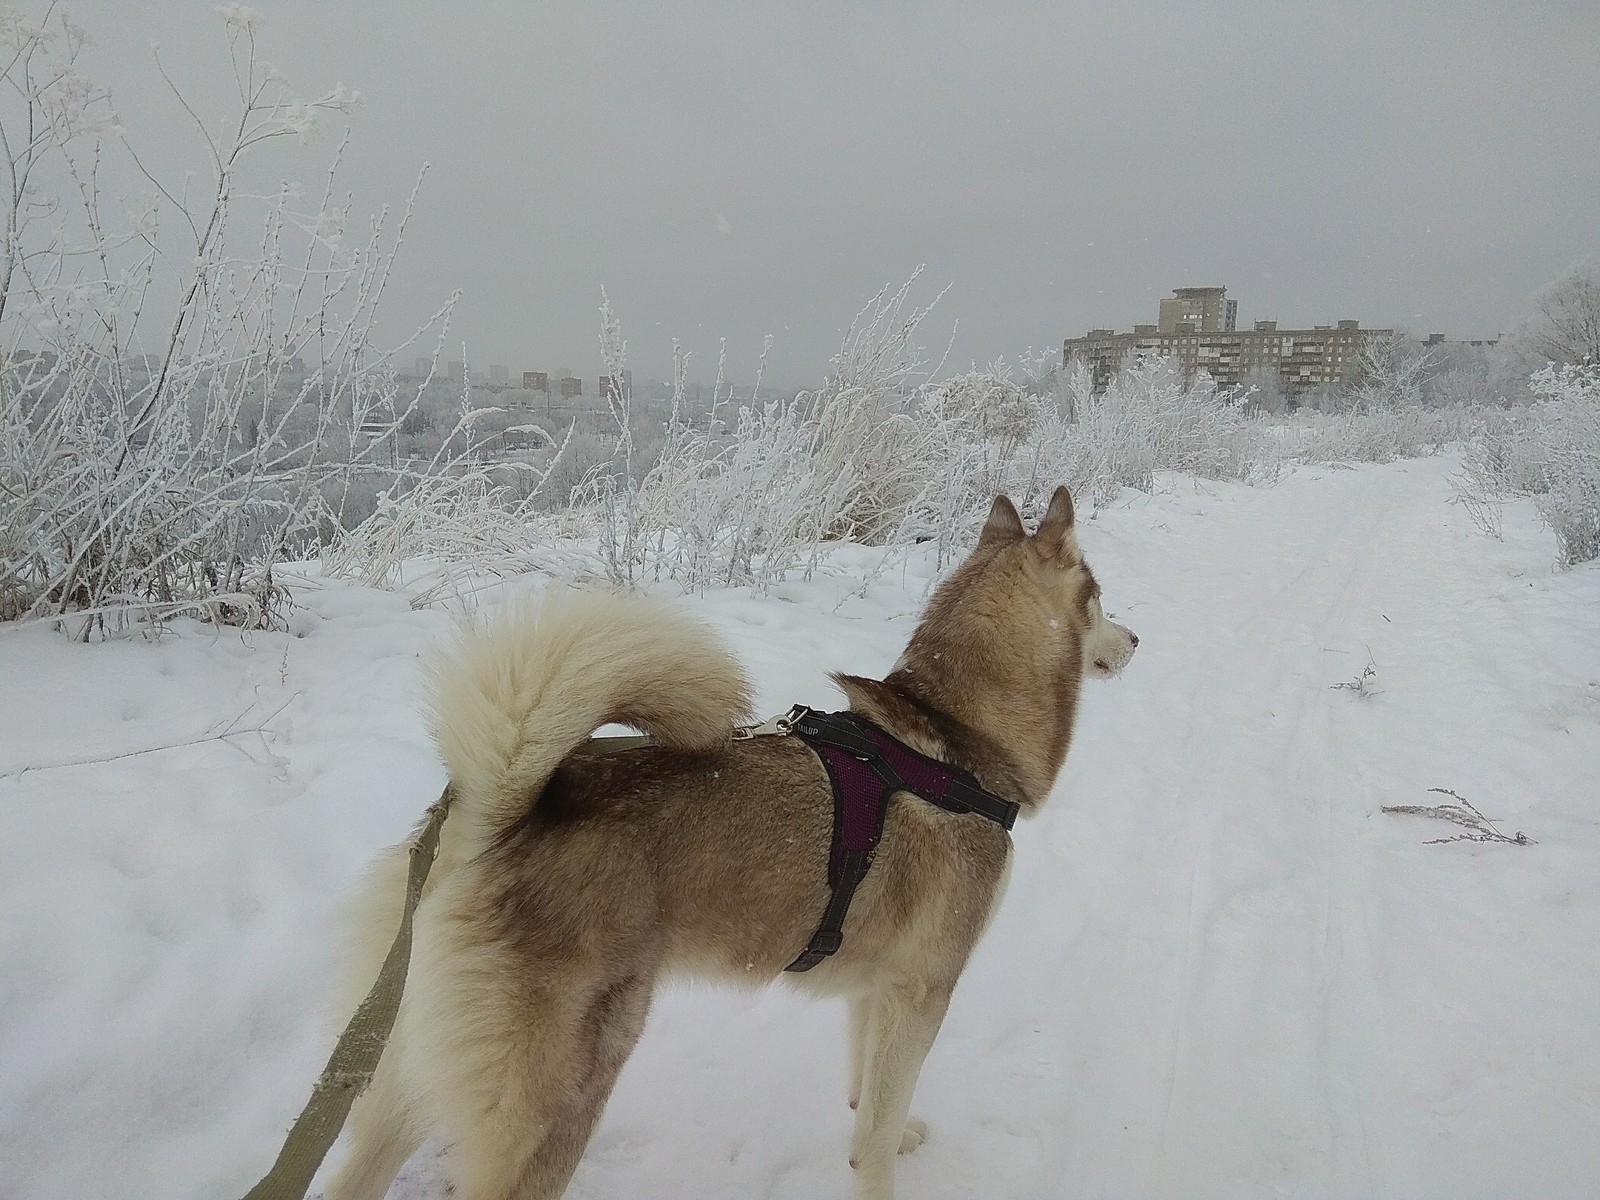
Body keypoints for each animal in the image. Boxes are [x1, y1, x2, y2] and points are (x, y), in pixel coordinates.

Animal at [328, 489, 1139, 1200]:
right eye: (1100, 595)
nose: (1137, 639)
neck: (957, 741)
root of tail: (493, 818)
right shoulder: (926, 988)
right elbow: (875, 1138)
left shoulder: (882, 984)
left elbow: (866, 1095)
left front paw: (884, 1126)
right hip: (560, 1096)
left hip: (399, 1074)